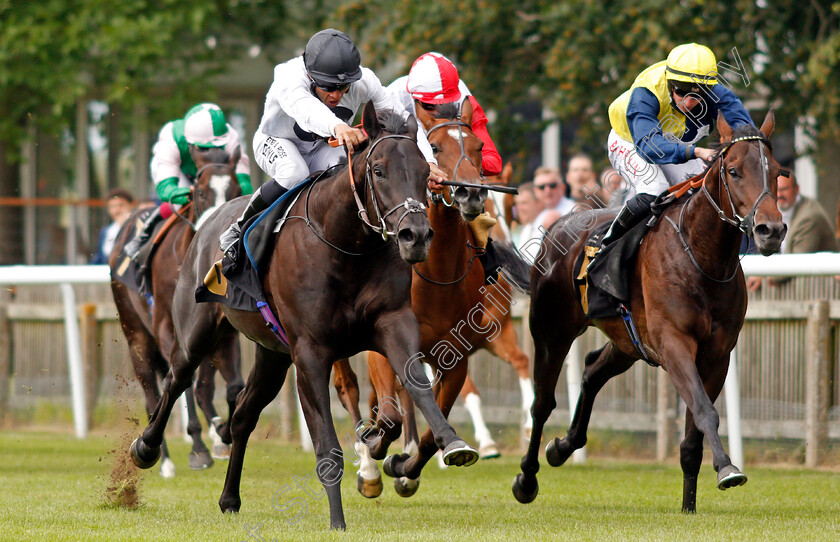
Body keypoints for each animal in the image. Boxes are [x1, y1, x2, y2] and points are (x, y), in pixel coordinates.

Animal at [110, 146, 244, 480]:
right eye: (200, 191)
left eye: (236, 189)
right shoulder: (166, 329)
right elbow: (181, 383)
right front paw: (198, 448)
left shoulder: (225, 333)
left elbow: (230, 386)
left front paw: (223, 432)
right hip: (136, 335)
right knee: (152, 395)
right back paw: (166, 458)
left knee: (202, 387)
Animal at [127, 103, 476, 532]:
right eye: (378, 170)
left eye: (426, 173)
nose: (416, 235)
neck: (345, 245)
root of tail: (206, 222)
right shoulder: (311, 352)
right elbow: (327, 446)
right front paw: (338, 521)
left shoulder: (393, 324)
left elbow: (413, 390)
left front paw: (445, 443)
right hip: (195, 331)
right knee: (176, 379)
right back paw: (147, 448)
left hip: (272, 353)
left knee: (242, 415)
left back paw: (229, 497)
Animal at [512, 111, 788, 516]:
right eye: (734, 171)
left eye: (779, 171)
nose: (771, 230)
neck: (701, 256)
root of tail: (556, 227)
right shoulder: (674, 343)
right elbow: (704, 410)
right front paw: (728, 469)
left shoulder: (717, 353)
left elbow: (693, 434)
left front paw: (690, 505)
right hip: (551, 332)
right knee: (543, 402)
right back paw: (526, 479)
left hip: (628, 342)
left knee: (592, 371)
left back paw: (562, 447)